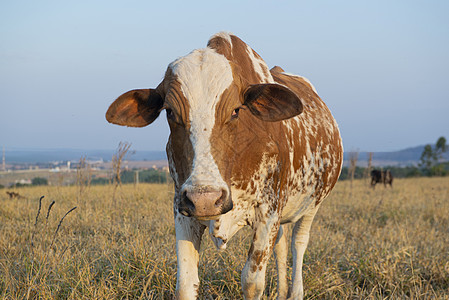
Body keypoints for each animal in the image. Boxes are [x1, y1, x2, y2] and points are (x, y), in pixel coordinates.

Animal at [106, 32, 344, 300]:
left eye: (236, 111)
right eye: (169, 112)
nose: (205, 199)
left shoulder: (268, 211)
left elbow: (252, 282)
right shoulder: (182, 209)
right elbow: (186, 284)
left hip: (312, 204)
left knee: (298, 243)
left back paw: (295, 292)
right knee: (282, 245)